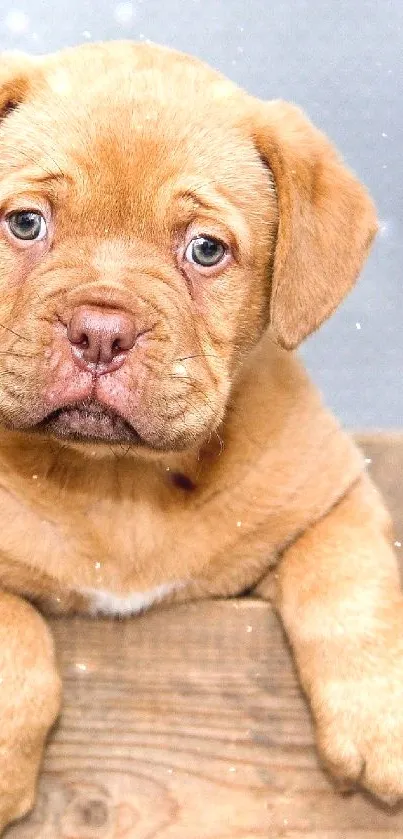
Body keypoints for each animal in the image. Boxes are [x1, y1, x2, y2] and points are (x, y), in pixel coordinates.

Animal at [0, 37, 400, 828]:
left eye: (206, 250)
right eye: (25, 224)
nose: (100, 331)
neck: (115, 481)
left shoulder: (333, 494)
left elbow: (351, 583)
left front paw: (383, 720)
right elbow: (15, 635)